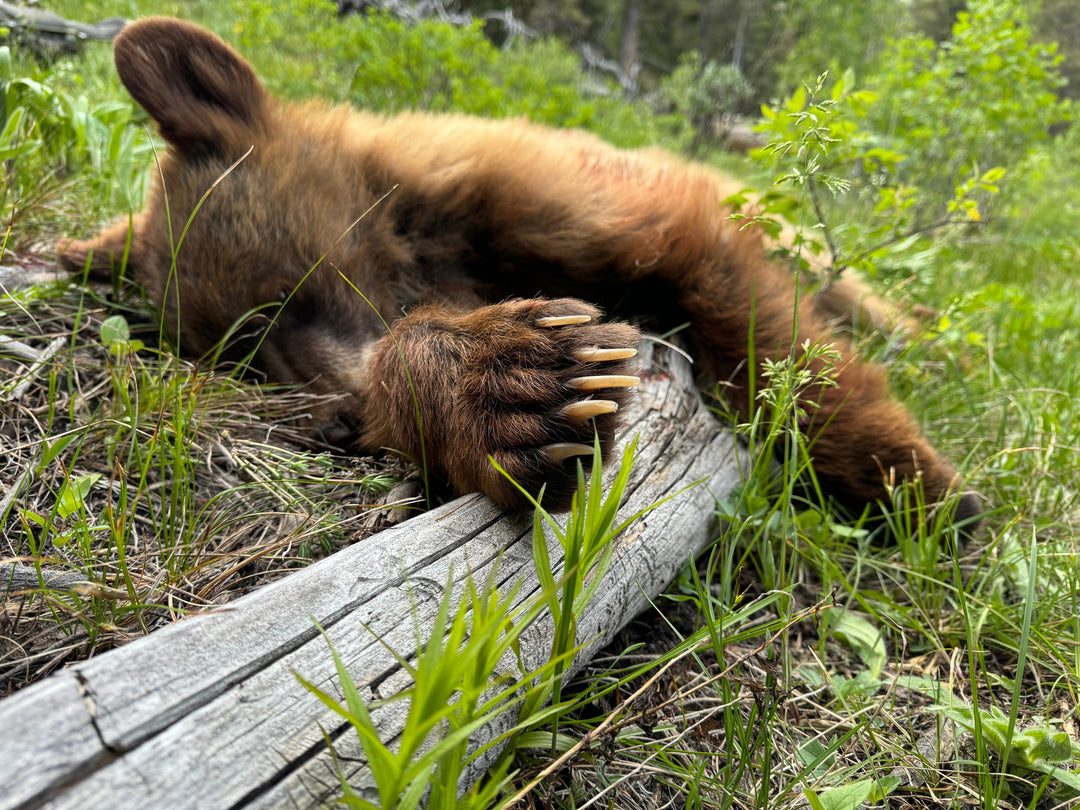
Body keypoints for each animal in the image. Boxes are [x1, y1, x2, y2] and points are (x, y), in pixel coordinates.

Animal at [58, 17, 980, 532]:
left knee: (856, 295)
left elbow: (753, 319)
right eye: (240, 361)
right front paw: (509, 389)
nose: (338, 425)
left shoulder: (596, 205)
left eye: (284, 299)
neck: (423, 236)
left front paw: (918, 487)